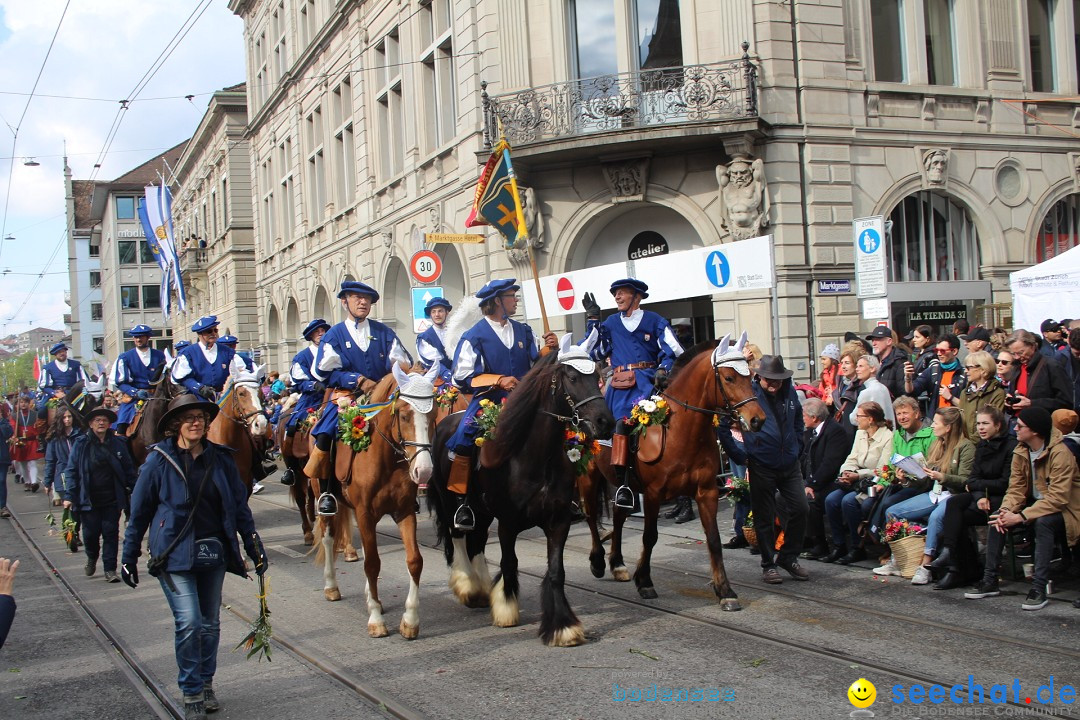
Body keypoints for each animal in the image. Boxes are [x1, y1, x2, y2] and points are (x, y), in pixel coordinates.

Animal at [315, 362, 440, 639]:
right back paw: (331, 586)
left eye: (433, 414)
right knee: (328, 538)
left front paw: (410, 621)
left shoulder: (404, 511)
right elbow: (372, 563)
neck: (387, 462)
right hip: (322, 496)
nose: (424, 471)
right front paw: (375, 620)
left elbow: (414, 561)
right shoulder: (365, 514)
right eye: (404, 415)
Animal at [427, 336, 617, 647]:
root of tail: (442, 424)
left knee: (478, 542)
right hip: (450, 502)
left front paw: (563, 626)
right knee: (458, 537)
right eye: (573, 377)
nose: (605, 422)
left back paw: (481, 590)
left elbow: (556, 572)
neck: (533, 458)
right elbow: (509, 562)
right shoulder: (508, 523)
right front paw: (506, 607)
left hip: (482, 512)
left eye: (597, 375)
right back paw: (468, 586)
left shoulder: (558, 522)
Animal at [578, 330, 764, 608]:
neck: (681, 432)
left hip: (622, 486)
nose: (757, 419)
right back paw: (598, 561)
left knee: (618, 516)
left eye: (750, 375)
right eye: (729, 377)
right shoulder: (654, 494)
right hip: (588, 477)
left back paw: (618, 564)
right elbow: (650, 536)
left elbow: (713, 539)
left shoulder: (706, 492)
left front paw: (725, 590)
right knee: (591, 515)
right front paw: (644, 581)